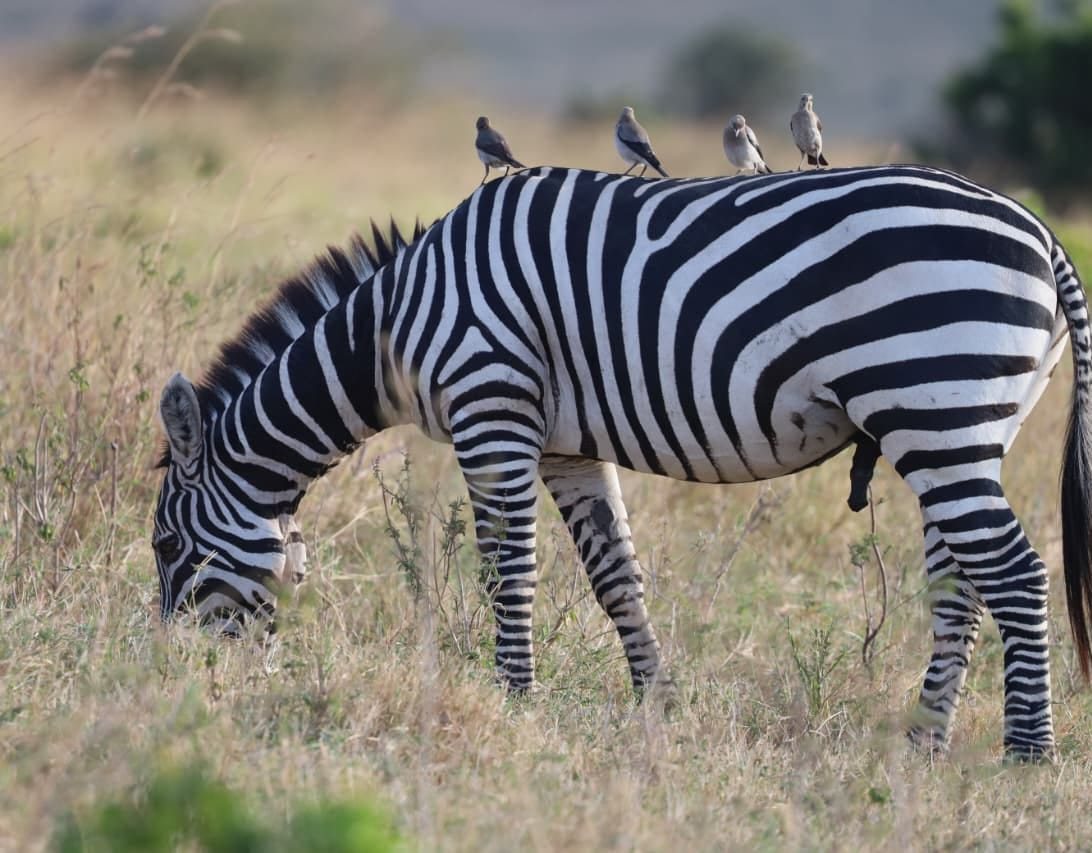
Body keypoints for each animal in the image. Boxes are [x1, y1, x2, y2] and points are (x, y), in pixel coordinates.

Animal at [153, 164, 1092, 761]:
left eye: (167, 549)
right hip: (959, 427)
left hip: (933, 404)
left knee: (1015, 572)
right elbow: (616, 575)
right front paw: (657, 701)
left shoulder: (491, 404)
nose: (171, 679)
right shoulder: (567, 444)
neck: (393, 324)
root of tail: (1043, 233)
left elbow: (508, 569)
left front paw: (514, 699)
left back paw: (1028, 750)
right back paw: (925, 739)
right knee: (961, 579)